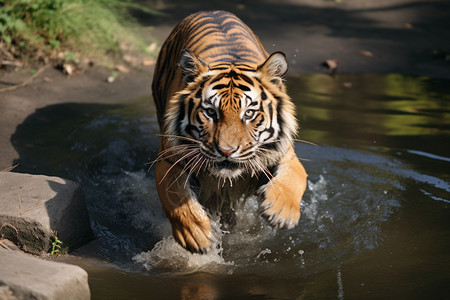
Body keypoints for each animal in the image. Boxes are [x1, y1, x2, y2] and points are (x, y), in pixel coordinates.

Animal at [153, 9, 308, 253]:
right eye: (210, 112)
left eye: (249, 113)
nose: (226, 151)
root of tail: (210, 10)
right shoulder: (169, 159)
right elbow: (174, 195)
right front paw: (196, 234)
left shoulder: (283, 153)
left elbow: (297, 176)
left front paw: (281, 212)